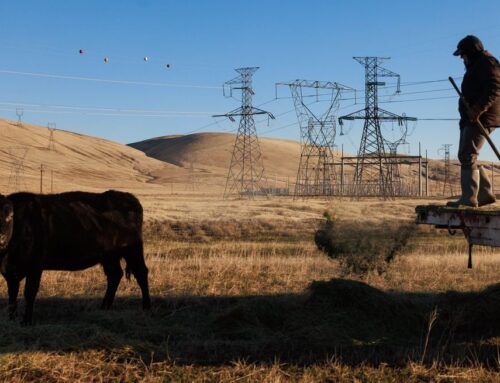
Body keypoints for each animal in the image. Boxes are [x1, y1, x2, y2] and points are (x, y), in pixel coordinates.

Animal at [0, 191, 150, 324]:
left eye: (10, 216)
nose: (1, 238)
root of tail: (129, 198)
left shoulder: (35, 267)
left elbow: (29, 292)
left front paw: (26, 321)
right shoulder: (11, 272)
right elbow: (12, 293)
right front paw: (11, 318)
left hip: (132, 251)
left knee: (141, 273)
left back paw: (146, 307)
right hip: (109, 256)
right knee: (114, 275)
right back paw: (104, 307)